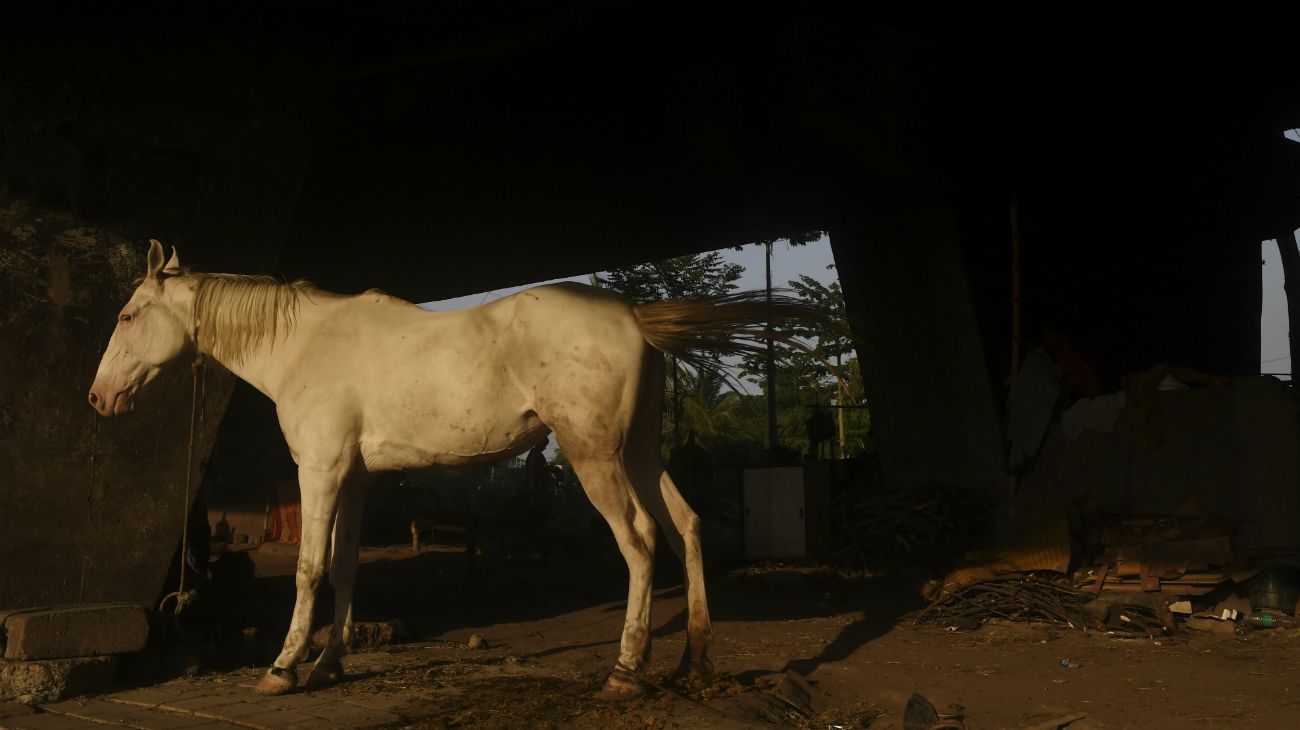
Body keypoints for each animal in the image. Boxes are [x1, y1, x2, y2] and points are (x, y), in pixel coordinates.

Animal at [89, 241, 821, 696]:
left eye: (127, 315)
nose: (99, 398)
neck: (304, 344)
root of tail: (633, 317)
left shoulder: (320, 471)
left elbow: (309, 569)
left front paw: (284, 666)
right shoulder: (354, 477)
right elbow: (346, 565)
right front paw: (329, 663)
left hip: (595, 456)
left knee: (640, 541)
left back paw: (625, 669)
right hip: (637, 451)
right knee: (686, 526)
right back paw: (692, 659)